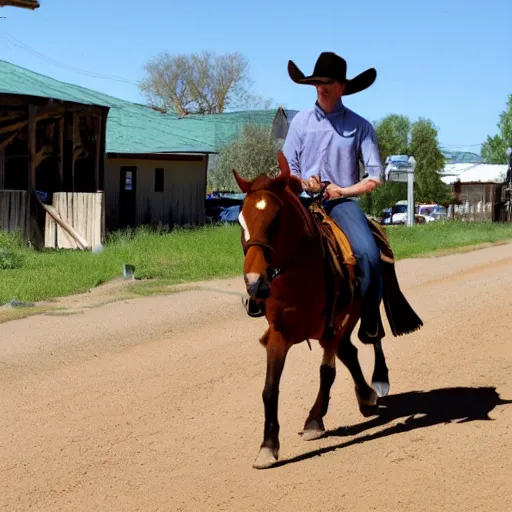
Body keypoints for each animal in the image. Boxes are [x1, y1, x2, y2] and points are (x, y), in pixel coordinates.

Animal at [234, 151, 422, 468]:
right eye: (241, 223)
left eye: (276, 220)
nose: (255, 285)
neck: (299, 277)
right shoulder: (279, 334)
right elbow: (270, 388)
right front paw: (268, 446)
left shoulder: (334, 326)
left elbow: (327, 373)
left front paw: (313, 422)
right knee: (351, 352)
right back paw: (366, 397)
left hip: (360, 314)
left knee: (373, 339)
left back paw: (378, 383)